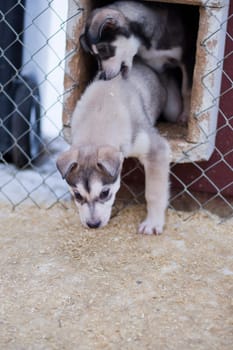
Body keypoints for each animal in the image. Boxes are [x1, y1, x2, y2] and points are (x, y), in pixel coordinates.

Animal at [56, 60, 178, 235]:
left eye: (105, 193)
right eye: (77, 196)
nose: (93, 225)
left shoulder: (156, 149)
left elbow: (154, 193)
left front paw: (153, 223)